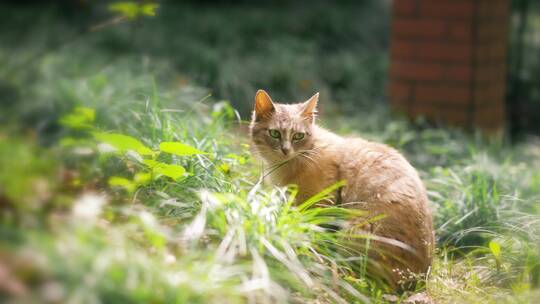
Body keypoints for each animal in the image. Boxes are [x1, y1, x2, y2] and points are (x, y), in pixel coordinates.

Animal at [249, 89, 434, 290]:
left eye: (298, 136)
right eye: (274, 133)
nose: (285, 150)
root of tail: (419, 278)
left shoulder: (321, 205)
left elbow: (314, 234)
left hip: (354, 231)